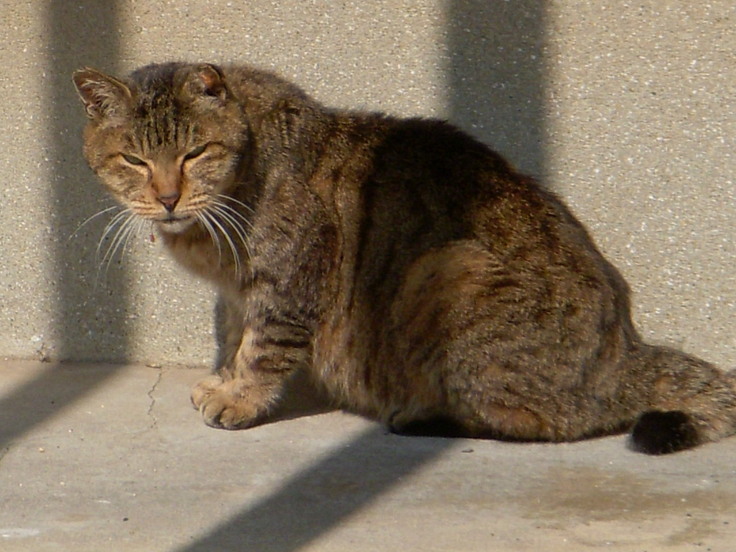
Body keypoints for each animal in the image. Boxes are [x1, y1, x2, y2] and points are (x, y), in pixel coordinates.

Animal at [72, 62, 732, 454]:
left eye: (195, 154)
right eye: (134, 160)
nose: (166, 197)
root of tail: (627, 353)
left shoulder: (288, 285)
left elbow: (262, 351)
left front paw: (239, 399)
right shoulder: (239, 292)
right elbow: (236, 337)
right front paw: (224, 378)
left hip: (443, 272)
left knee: (550, 423)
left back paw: (424, 417)